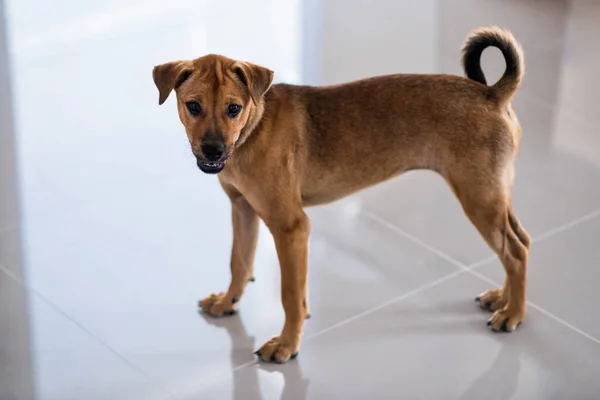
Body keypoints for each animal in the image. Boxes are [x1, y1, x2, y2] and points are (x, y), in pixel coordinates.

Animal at [154, 25, 528, 362]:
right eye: (193, 106)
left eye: (233, 109)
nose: (213, 152)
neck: (254, 128)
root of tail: (493, 95)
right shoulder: (243, 210)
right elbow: (240, 262)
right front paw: (228, 301)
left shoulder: (291, 227)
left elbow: (289, 293)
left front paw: (287, 344)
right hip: (494, 194)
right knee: (518, 241)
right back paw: (503, 299)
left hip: (479, 197)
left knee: (515, 252)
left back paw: (514, 314)